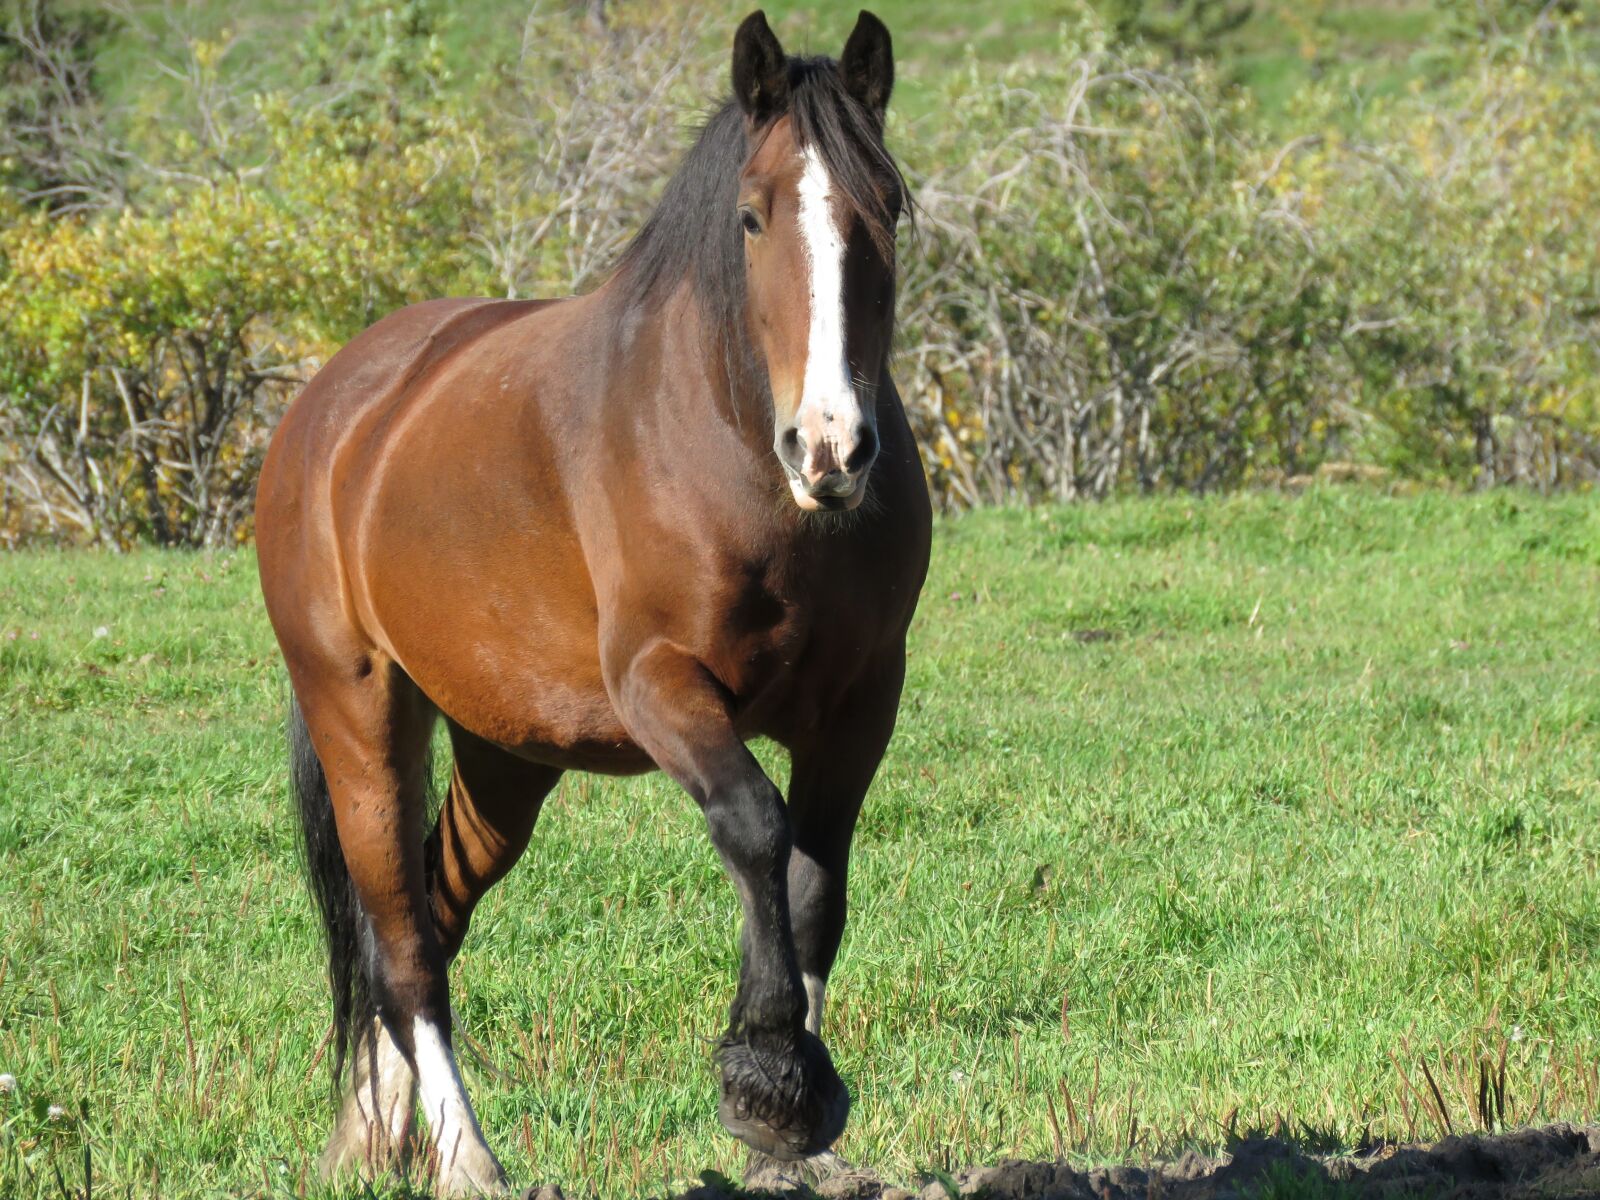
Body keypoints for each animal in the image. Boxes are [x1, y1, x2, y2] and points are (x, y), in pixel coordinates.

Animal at [255, 10, 929, 1194]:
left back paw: (376, 1130)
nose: (833, 445)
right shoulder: (662, 686)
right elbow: (755, 827)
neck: (741, 459)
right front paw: (764, 1077)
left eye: (884, 204)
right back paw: (466, 1157)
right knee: (402, 948)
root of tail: (330, 409)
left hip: (503, 756)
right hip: (359, 716)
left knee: (433, 908)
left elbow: (816, 881)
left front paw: (802, 1097)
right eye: (752, 216)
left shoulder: (860, 703)